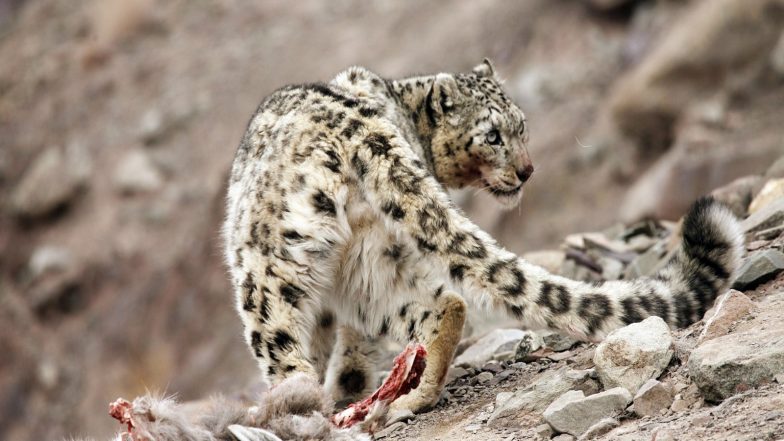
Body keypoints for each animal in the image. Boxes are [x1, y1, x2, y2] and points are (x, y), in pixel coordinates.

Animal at [223, 59, 744, 416]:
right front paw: (350, 389)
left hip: (268, 271)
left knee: (286, 352)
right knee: (444, 304)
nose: (527, 170)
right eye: (493, 135)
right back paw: (415, 397)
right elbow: (347, 348)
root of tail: (361, 128)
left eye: (521, 127)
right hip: (367, 264)